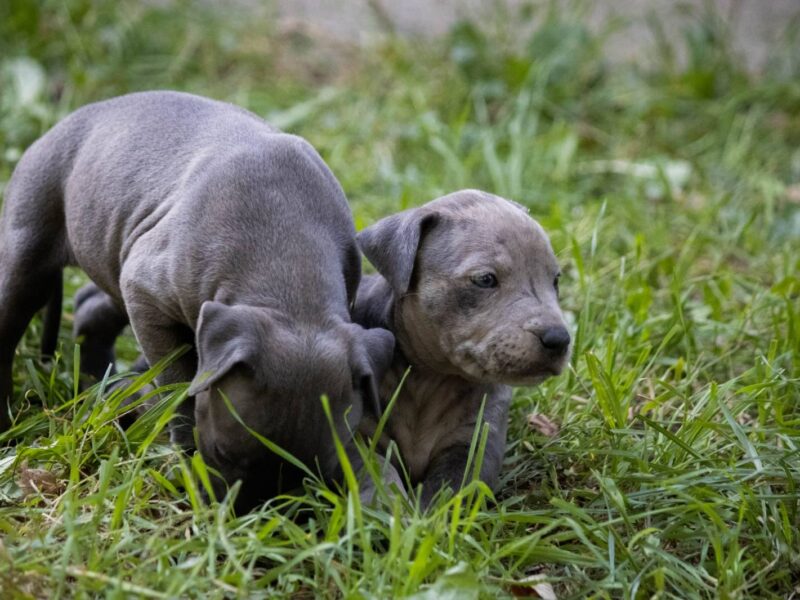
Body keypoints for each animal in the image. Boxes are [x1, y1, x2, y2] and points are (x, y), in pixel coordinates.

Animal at [354, 191, 568, 506]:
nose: (559, 339)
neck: (427, 379)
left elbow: (447, 491)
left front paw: (424, 515)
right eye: (485, 279)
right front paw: (392, 508)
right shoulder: (356, 436)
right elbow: (376, 472)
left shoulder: (474, 444)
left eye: (555, 280)